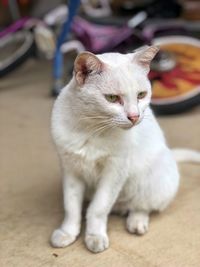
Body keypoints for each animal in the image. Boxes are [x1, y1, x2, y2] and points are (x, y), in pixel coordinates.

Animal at [50, 46, 200, 253]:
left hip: (154, 179)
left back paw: (136, 222)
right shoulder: (71, 170)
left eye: (141, 95)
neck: (91, 130)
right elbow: (71, 206)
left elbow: (98, 208)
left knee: (142, 205)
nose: (134, 116)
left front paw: (95, 236)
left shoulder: (115, 171)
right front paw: (67, 232)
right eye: (112, 98)